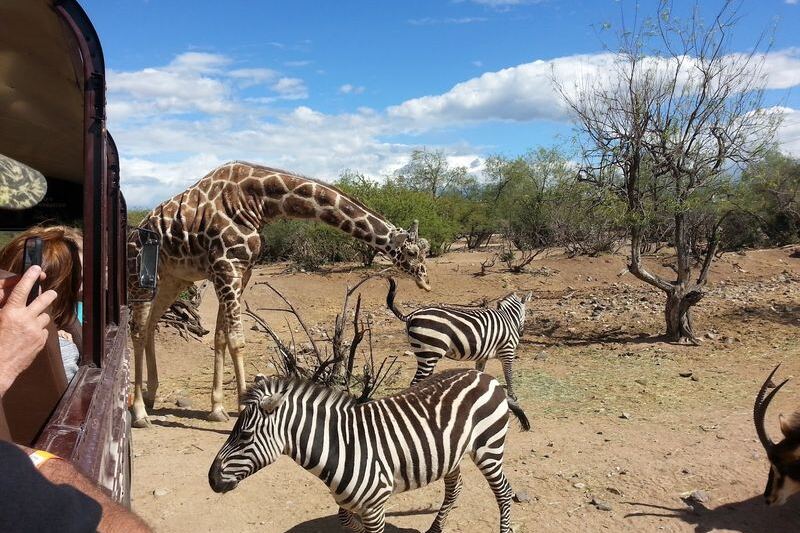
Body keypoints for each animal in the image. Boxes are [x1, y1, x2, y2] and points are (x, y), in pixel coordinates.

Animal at [127, 161, 431, 428]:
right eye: (412, 252)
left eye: (425, 250)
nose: (426, 282)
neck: (258, 202)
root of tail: (132, 234)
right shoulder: (226, 266)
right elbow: (236, 340)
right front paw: (241, 408)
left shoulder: (241, 271)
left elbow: (221, 337)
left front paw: (217, 408)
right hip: (140, 276)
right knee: (138, 330)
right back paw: (139, 412)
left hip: (173, 279)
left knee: (151, 325)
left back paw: (151, 396)